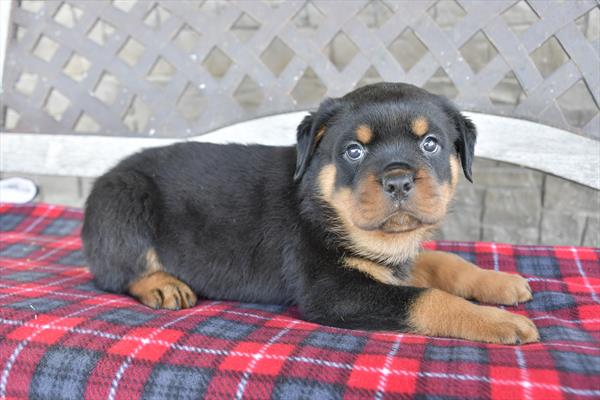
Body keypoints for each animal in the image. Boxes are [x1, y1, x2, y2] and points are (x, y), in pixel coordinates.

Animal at [83, 82, 540, 344]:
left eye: (430, 144)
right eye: (354, 151)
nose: (397, 180)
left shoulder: (394, 260)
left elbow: (443, 261)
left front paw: (498, 282)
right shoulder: (332, 291)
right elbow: (426, 298)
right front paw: (498, 322)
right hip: (123, 201)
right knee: (119, 269)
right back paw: (163, 285)